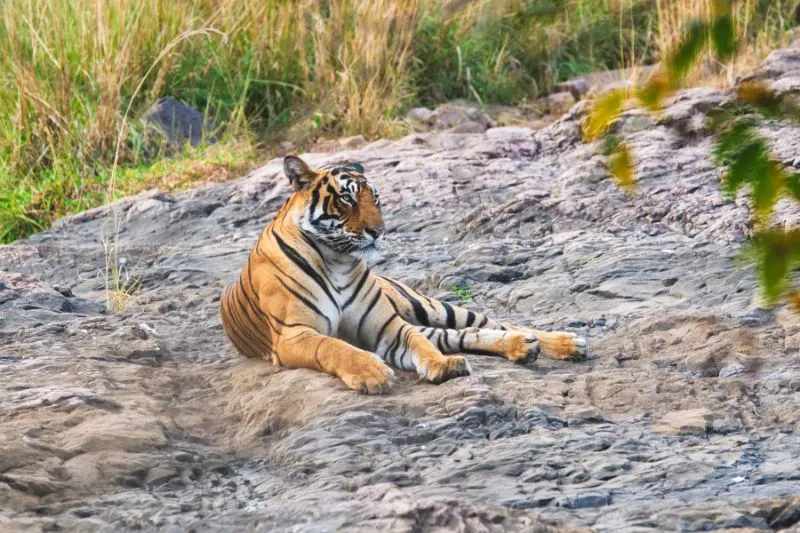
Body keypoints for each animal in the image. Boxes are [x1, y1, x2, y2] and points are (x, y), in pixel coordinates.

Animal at [219, 156, 588, 392]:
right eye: (347, 199)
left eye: (377, 200)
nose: (379, 232)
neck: (337, 259)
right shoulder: (294, 335)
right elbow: (335, 347)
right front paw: (372, 372)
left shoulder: (388, 326)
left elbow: (419, 344)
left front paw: (443, 366)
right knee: (462, 334)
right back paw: (526, 347)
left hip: (428, 305)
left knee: (491, 323)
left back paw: (563, 343)